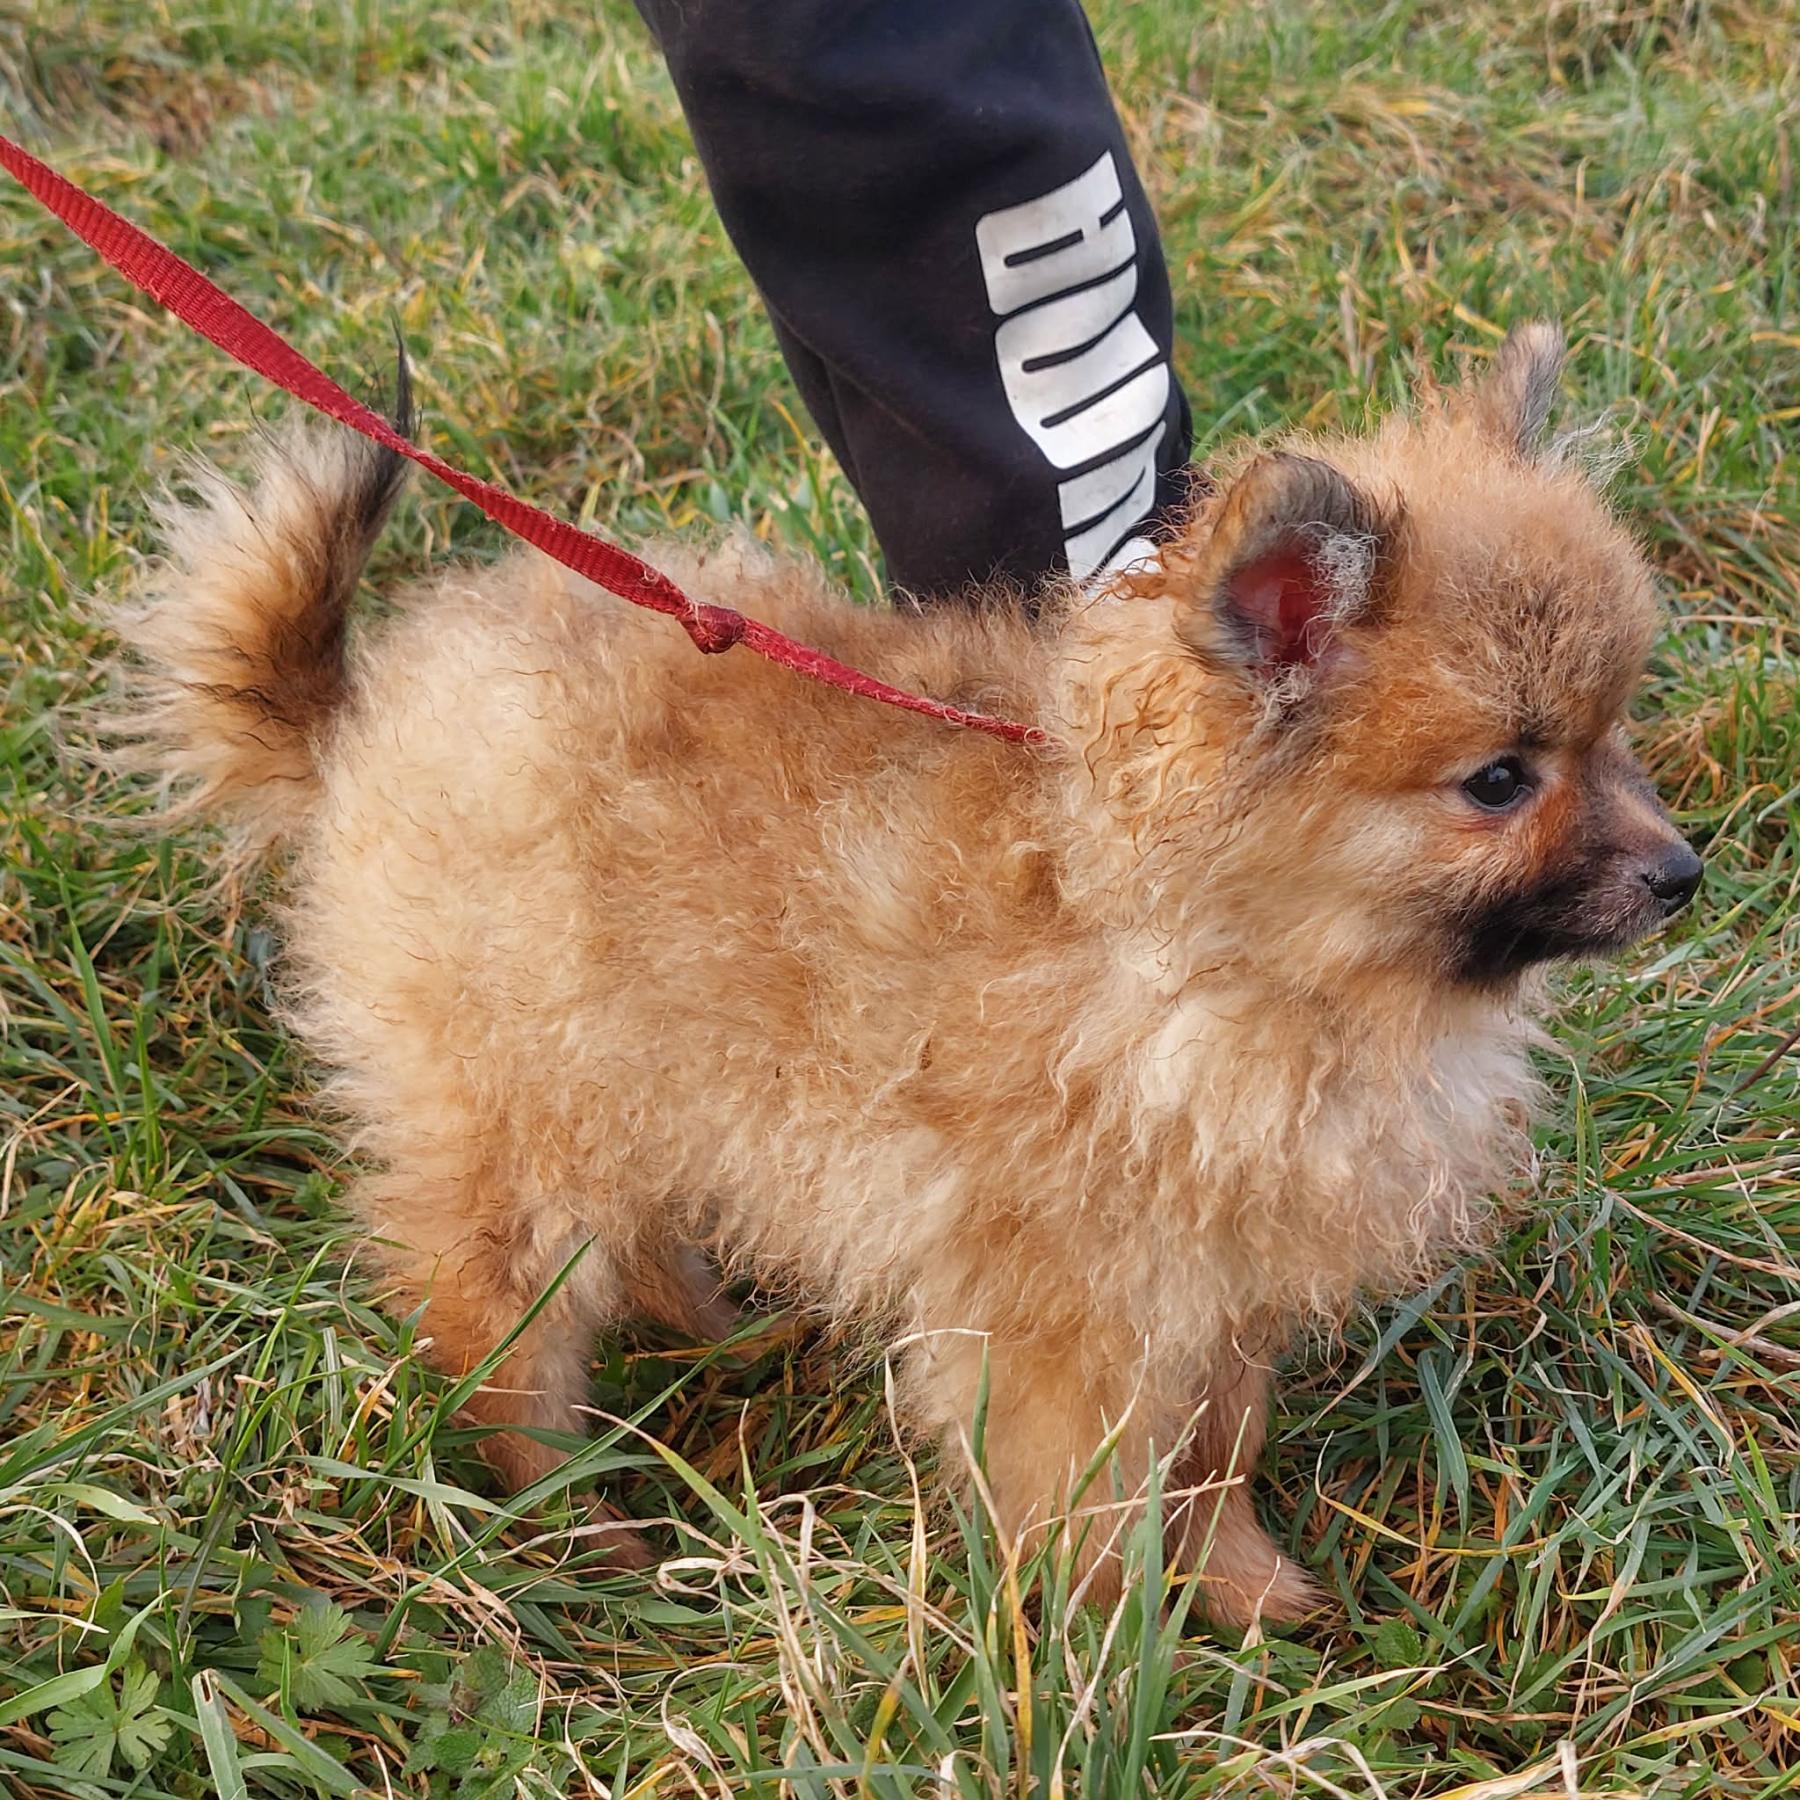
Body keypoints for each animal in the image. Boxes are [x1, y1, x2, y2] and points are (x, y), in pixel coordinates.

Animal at [111, 322, 1699, 1625]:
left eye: (1617, 732)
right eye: (1500, 781)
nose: (1683, 872)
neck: (1216, 965)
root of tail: (358, 722)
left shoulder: (1212, 1294)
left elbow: (1214, 1457)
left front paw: (1240, 1586)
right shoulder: (1076, 1321)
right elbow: (1098, 1504)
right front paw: (1111, 1662)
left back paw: (719, 1332)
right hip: (523, 1124)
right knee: (499, 1333)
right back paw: (571, 1524)